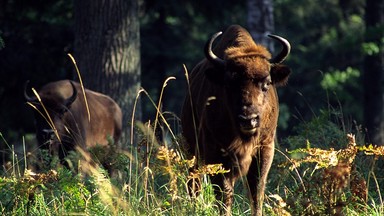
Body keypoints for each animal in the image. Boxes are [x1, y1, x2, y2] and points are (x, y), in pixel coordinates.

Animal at [181, 24, 292, 215]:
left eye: (266, 83)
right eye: (228, 83)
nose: (249, 119)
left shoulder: (265, 148)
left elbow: (256, 190)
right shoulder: (215, 152)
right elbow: (224, 192)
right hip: (192, 149)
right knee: (194, 182)